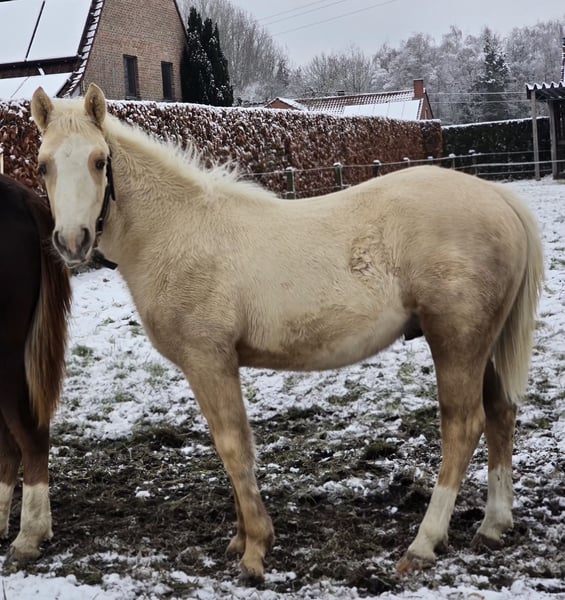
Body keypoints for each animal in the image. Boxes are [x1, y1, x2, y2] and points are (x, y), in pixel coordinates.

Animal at [30, 83, 544, 579]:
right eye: (43, 165)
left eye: (100, 161)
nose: (72, 241)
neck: (177, 231)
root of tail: (499, 198)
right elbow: (234, 447)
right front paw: (242, 539)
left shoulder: (208, 361)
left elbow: (233, 447)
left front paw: (256, 549)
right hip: (482, 345)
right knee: (500, 413)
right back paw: (493, 525)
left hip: (456, 342)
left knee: (464, 426)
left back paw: (424, 542)